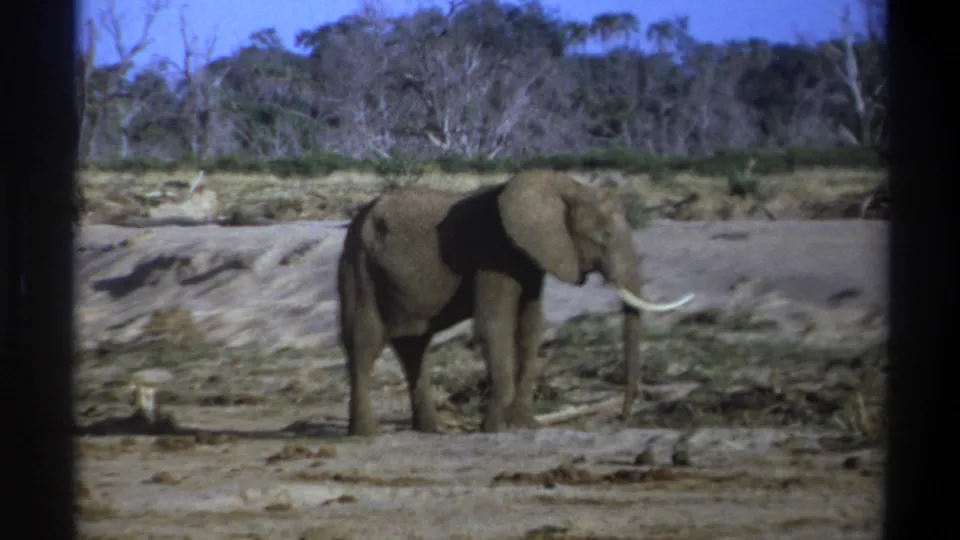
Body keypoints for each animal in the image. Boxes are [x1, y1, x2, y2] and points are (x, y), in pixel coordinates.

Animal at [336, 170, 695, 436]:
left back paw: (429, 431)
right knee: (365, 341)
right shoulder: (494, 254)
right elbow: (495, 326)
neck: (567, 187)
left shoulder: (530, 258)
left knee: (414, 347)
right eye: (604, 237)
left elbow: (530, 326)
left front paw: (524, 424)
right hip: (359, 264)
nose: (622, 419)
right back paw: (367, 434)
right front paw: (494, 428)